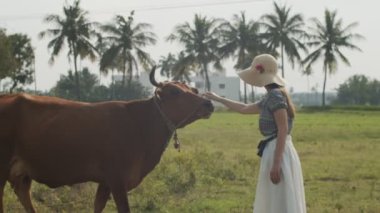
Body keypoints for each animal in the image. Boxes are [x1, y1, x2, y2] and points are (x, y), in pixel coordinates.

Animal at [0, 66, 214, 211]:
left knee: (24, 195)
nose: (209, 104)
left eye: (194, 90)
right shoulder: (117, 180)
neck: (140, 124)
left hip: (21, 174)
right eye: (175, 91)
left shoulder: (105, 183)